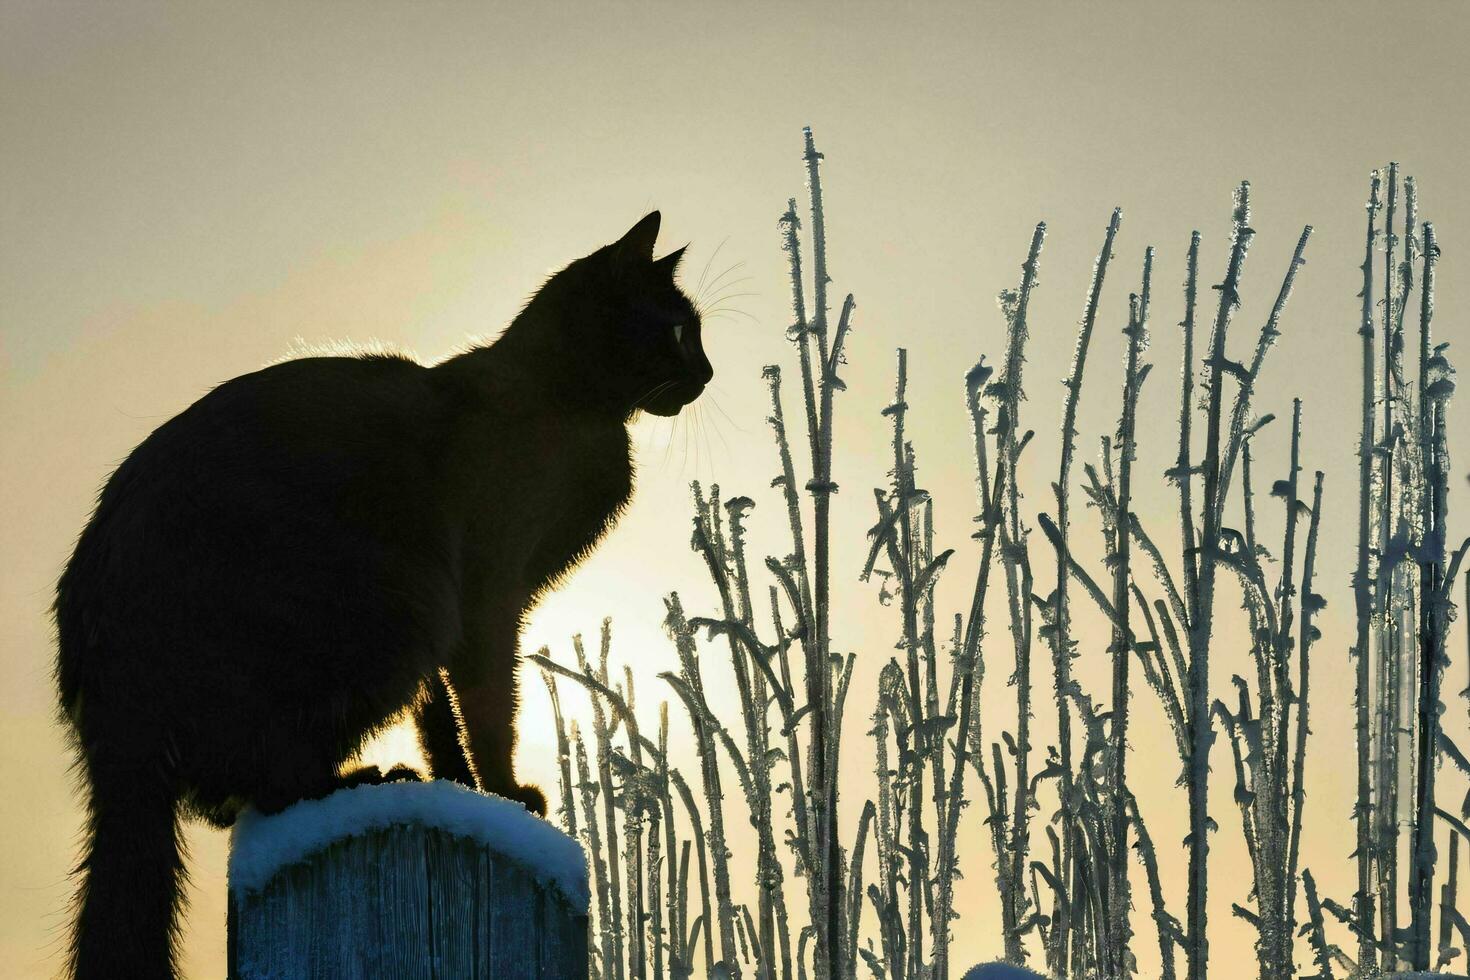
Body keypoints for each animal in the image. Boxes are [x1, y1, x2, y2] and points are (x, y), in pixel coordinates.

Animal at [51, 211, 705, 975]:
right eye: (678, 332)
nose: (706, 373)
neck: (560, 399)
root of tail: (115, 718)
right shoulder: (484, 594)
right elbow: (489, 702)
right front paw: (505, 793)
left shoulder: (464, 614)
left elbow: (438, 711)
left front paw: (460, 788)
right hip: (398, 602)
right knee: (263, 780)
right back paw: (356, 781)